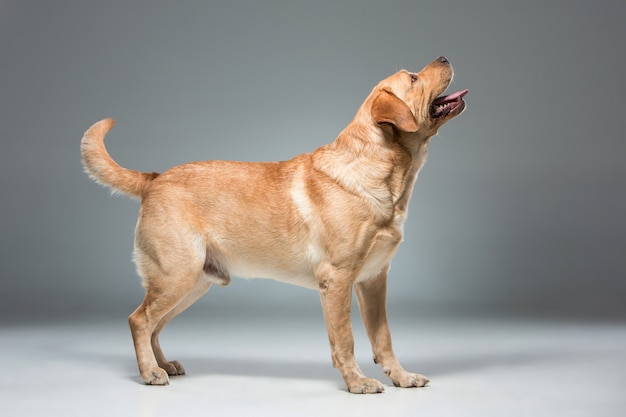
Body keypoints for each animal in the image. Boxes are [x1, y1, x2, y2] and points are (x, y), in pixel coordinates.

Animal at [80, 56, 466, 394]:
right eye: (413, 78)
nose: (445, 57)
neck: (383, 170)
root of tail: (154, 178)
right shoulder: (337, 280)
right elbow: (346, 339)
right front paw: (357, 382)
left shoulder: (373, 282)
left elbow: (383, 338)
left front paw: (401, 377)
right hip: (177, 274)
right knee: (139, 320)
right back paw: (149, 372)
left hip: (191, 282)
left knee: (154, 325)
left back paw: (163, 365)